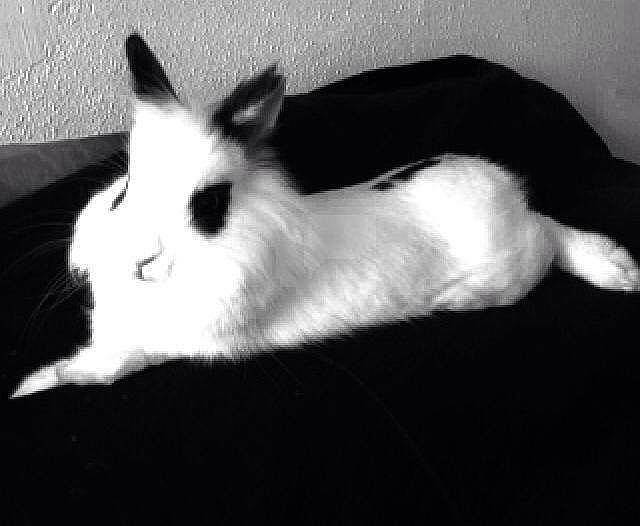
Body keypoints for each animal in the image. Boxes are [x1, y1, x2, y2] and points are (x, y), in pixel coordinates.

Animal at [11, 33, 640, 398]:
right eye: (124, 191)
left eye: (208, 205)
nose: (142, 261)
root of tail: (510, 195)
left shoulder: (166, 345)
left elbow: (104, 368)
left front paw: (32, 385)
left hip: (513, 256)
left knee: (547, 247)